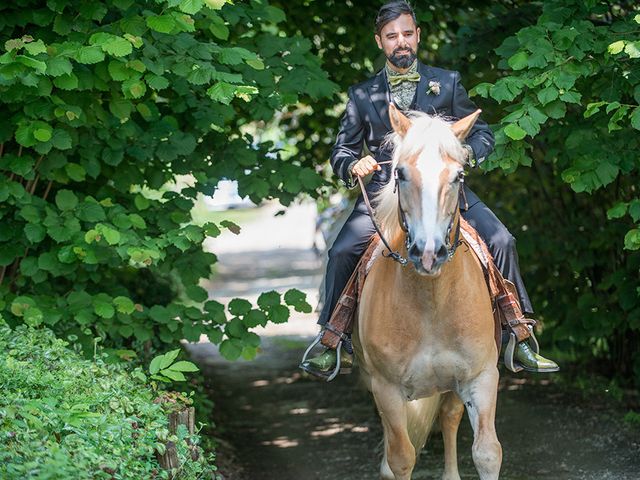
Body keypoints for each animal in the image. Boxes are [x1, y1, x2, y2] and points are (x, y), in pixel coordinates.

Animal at [352, 106, 502, 480]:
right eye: (401, 174)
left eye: (458, 175)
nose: (429, 253)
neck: (432, 302)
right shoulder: (387, 389)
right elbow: (401, 458)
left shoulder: (481, 376)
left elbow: (487, 453)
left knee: (448, 418)